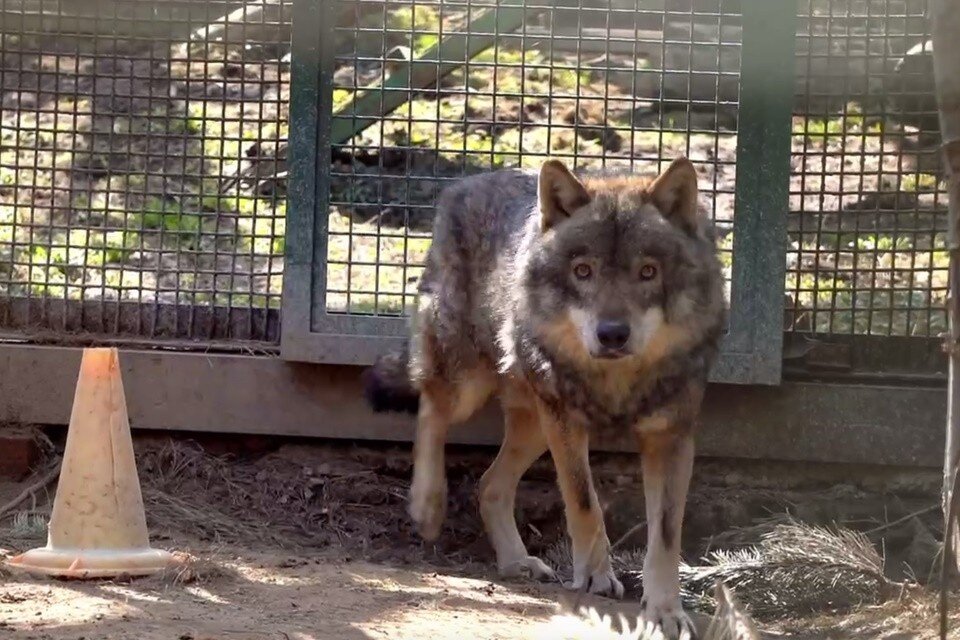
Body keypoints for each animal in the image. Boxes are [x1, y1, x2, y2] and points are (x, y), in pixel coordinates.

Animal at [364, 156, 724, 640]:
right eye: (583, 271)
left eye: (647, 272)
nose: (612, 334)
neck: (616, 380)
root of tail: (467, 182)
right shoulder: (567, 422)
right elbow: (584, 502)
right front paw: (594, 576)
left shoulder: (669, 437)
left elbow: (666, 535)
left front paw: (665, 609)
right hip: (471, 383)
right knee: (430, 408)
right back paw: (427, 505)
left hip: (535, 422)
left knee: (488, 486)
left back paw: (516, 562)